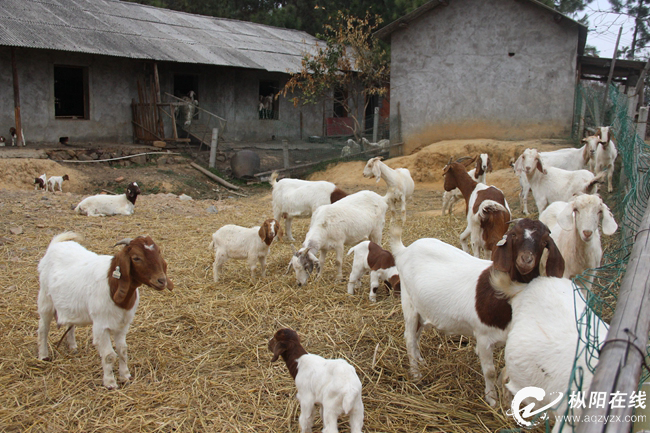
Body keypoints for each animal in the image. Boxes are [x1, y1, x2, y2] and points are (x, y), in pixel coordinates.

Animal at [38, 231, 172, 390]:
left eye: (158, 252)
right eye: (136, 258)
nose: (162, 281)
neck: (112, 285)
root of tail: (55, 244)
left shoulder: (122, 324)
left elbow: (123, 350)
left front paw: (125, 376)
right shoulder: (101, 326)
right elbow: (109, 355)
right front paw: (110, 383)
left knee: (70, 323)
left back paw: (72, 347)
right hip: (45, 299)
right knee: (43, 328)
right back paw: (43, 356)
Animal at [388, 221, 564, 406]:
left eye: (544, 241)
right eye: (514, 235)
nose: (526, 260)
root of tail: (404, 250)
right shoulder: (483, 335)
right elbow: (490, 372)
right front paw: (492, 400)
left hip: (422, 309)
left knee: (416, 335)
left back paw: (420, 360)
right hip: (408, 303)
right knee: (409, 338)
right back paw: (416, 374)